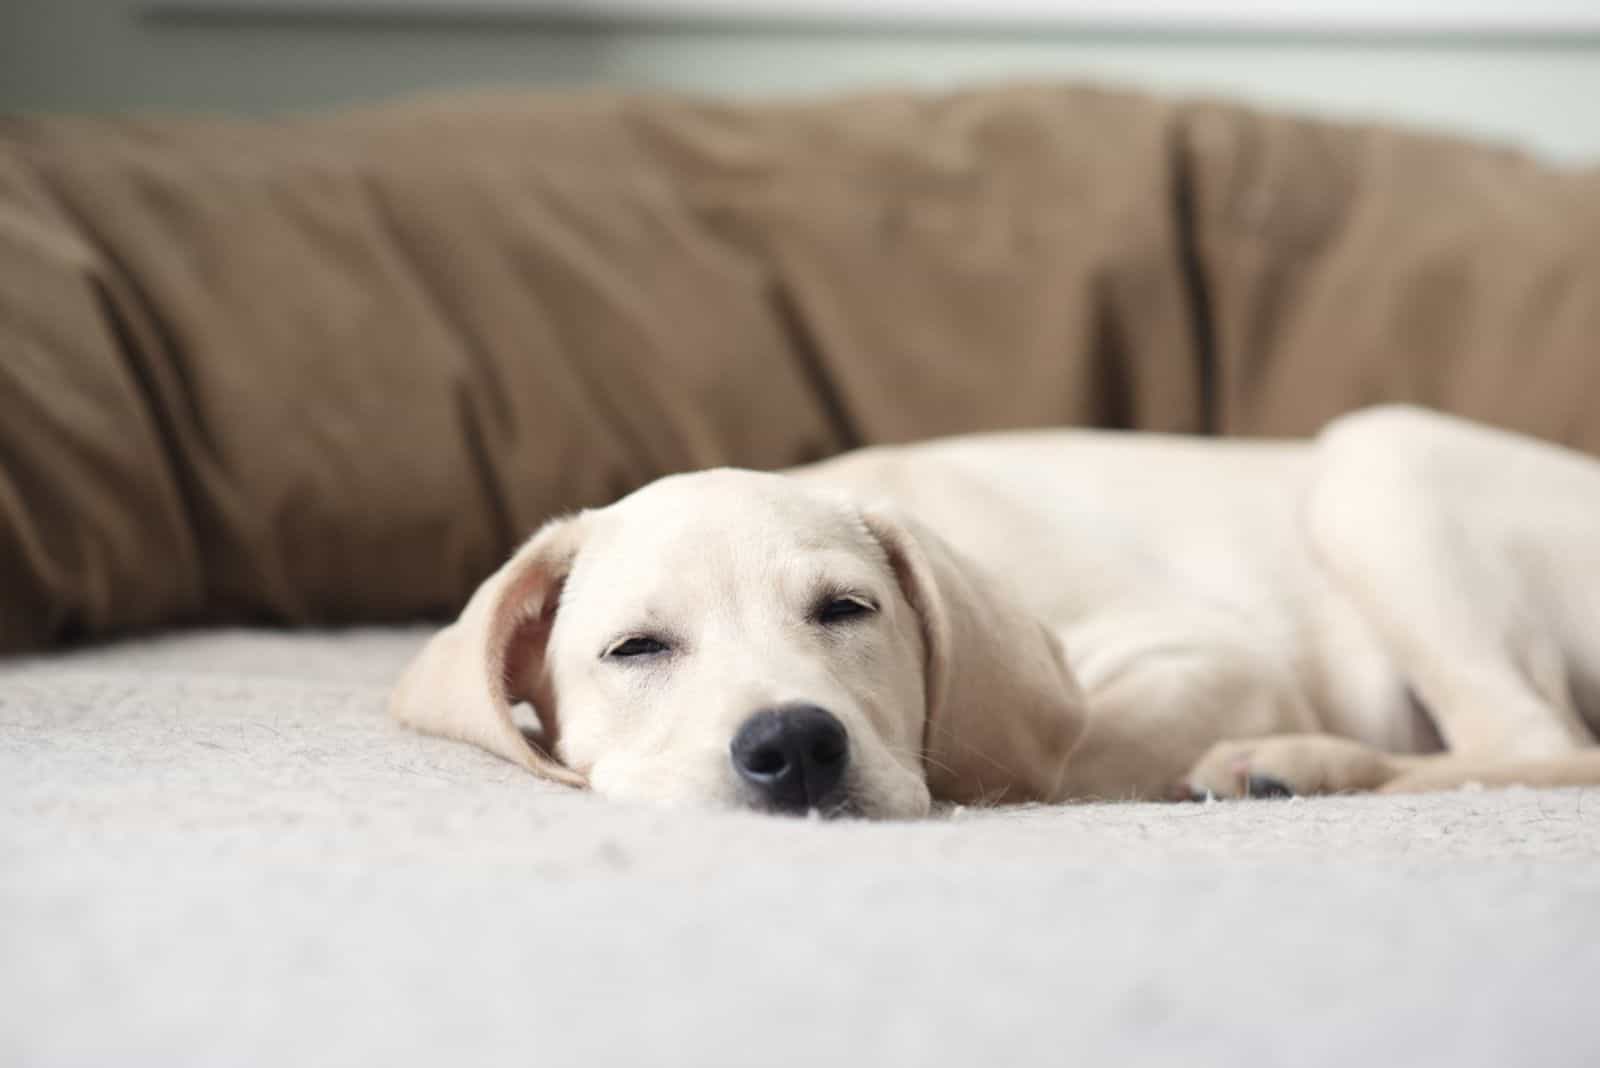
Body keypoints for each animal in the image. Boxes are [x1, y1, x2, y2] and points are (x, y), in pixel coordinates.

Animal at [387, 409, 1600, 818]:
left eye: (847, 610)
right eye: (635, 648)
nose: (795, 748)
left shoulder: (1210, 652)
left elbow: (1064, 748)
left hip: (1375, 468)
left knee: (1538, 742)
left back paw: (1295, 762)